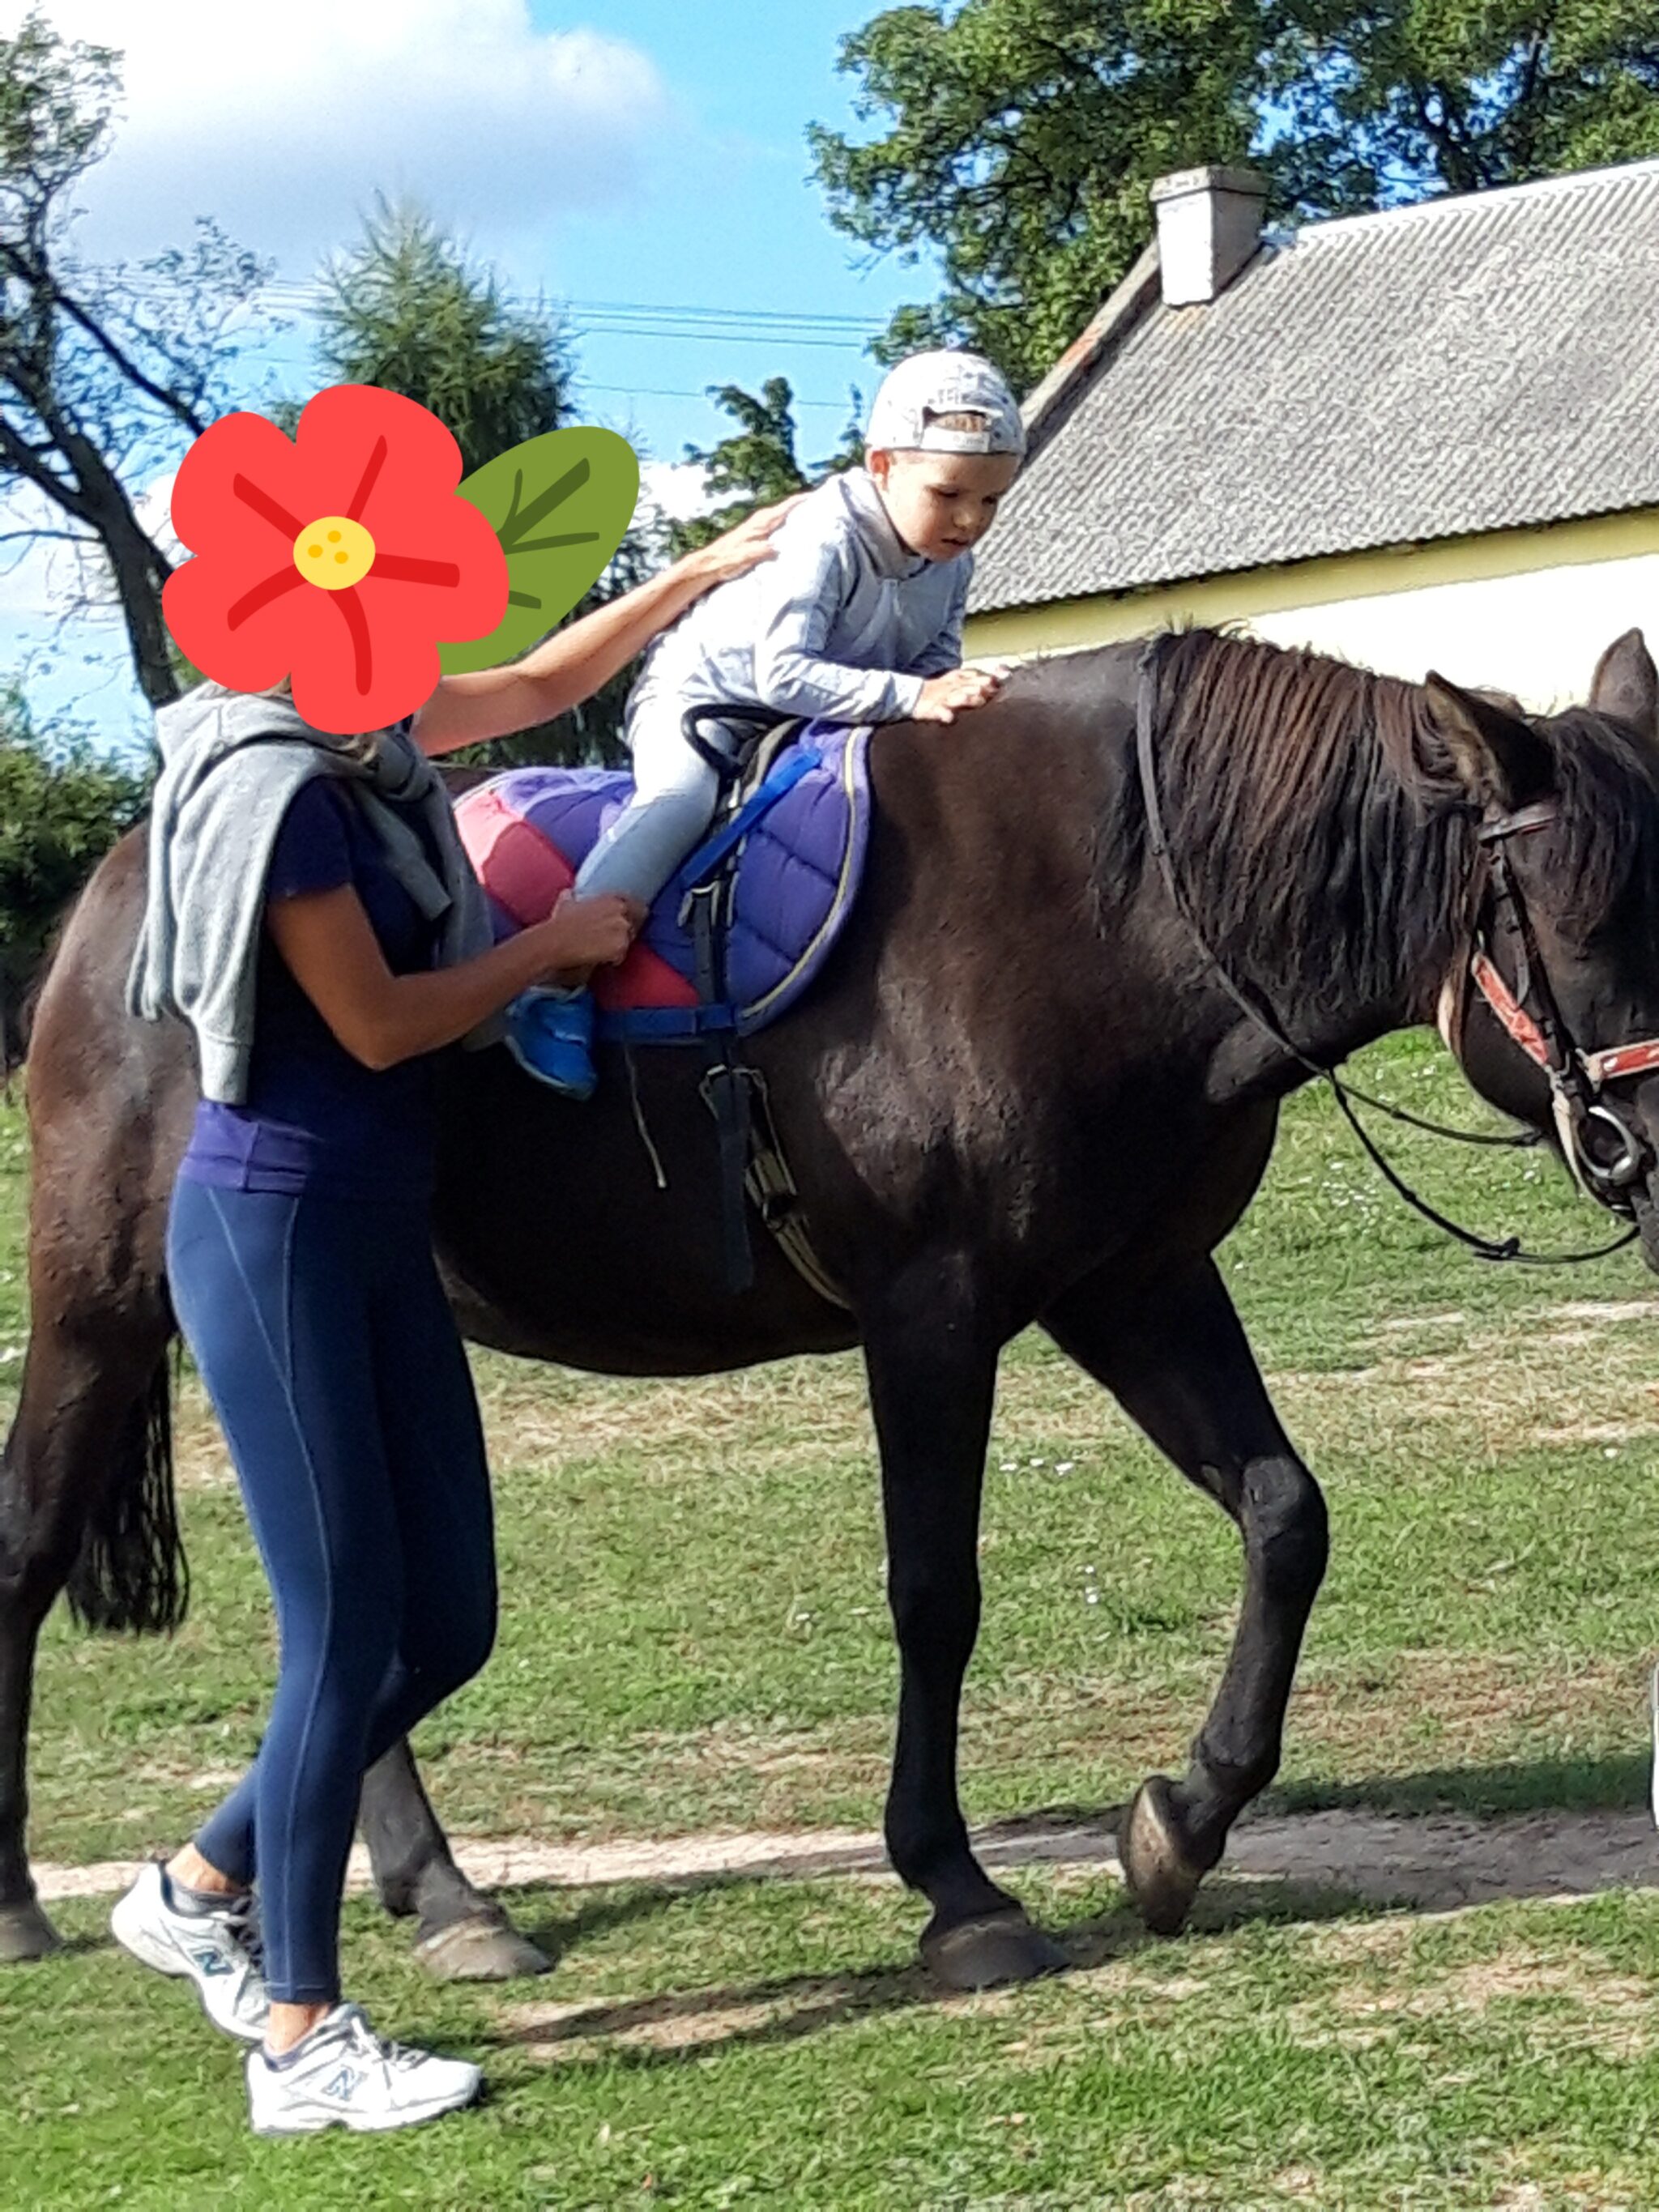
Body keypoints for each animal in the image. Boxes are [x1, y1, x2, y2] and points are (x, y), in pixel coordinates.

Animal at [4, 625, 1658, 1994]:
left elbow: (1283, 1514)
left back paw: (444, 1892)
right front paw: (959, 1888)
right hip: (101, 1306)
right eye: (1587, 922)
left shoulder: (1131, 1287)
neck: (1115, 908)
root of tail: (116, 895)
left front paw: (1181, 1822)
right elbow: (936, 1595)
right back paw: (31, 1898)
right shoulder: (930, 1314)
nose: (1657, 1153)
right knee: (38, 1548)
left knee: (354, 1602)